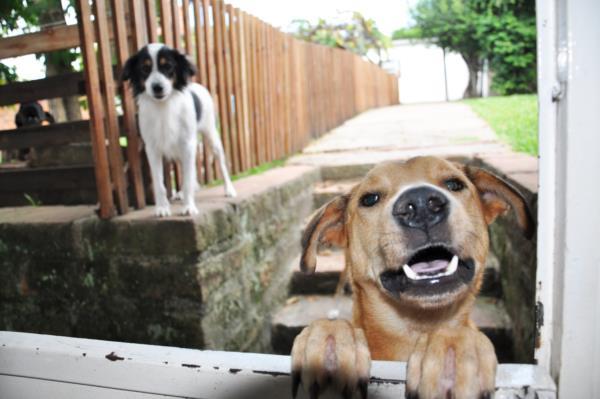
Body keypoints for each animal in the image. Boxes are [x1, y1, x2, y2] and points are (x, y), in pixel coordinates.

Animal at [120, 43, 236, 217]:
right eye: (144, 69)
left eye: (168, 66)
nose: (157, 87)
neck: (164, 106)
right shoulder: (152, 149)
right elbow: (159, 183)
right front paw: (162, 208)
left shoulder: (187, 144)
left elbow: (188, 179)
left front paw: (188, 207)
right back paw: (181, 193)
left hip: (211, 136)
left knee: (220, 162)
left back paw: (229, 189)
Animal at [292, 157, 532, 399]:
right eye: (369, 198)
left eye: (454, 184)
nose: (421, 204)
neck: (417, 326)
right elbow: (332, 328)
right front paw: (331, 341)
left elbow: (452, 331)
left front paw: (453, 346)